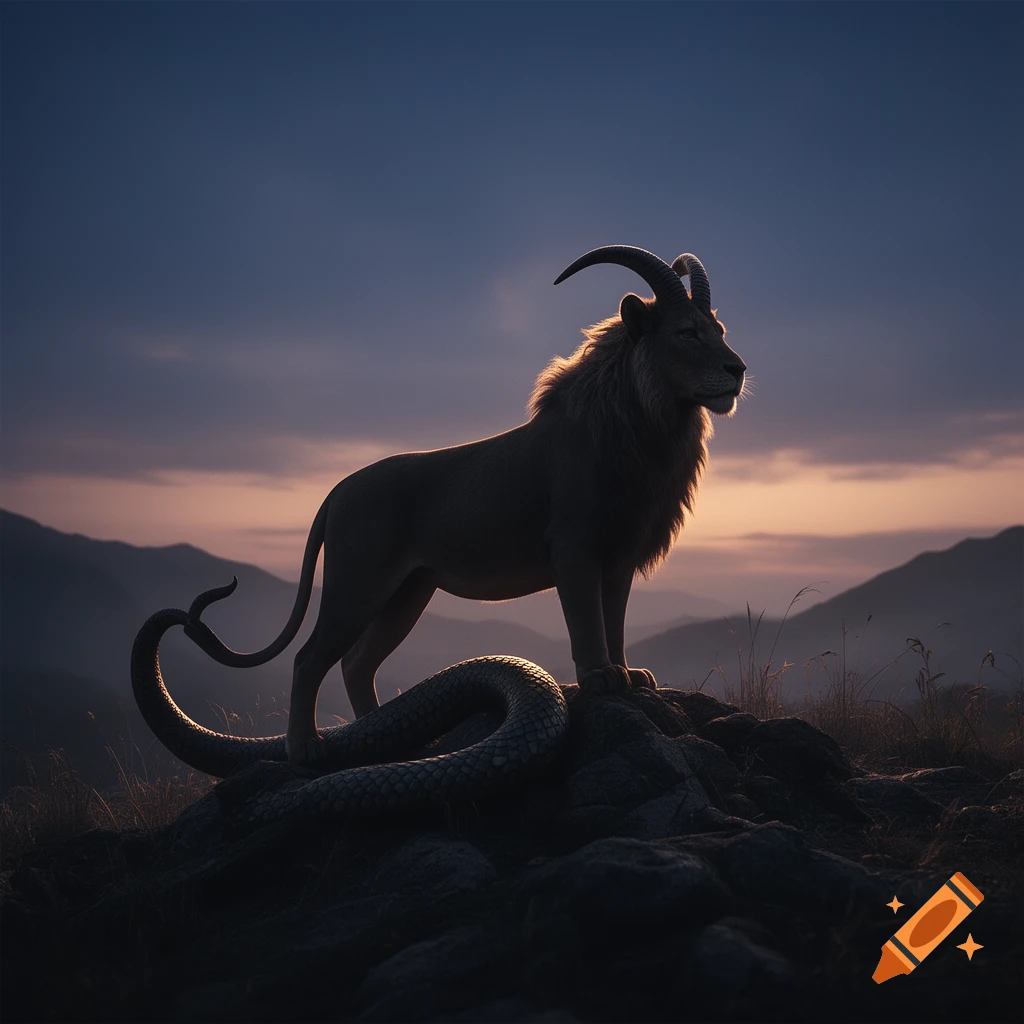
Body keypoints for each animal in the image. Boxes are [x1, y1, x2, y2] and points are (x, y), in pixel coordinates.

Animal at [182, 244, 747, 764]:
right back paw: (305, 751)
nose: (738, 369)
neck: (648, 426)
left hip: (407, 592)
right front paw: (600, 678)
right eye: (687, 333)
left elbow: (616, 616)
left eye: (719, 330)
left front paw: (629, 674)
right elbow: (587, 618)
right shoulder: (574, 547)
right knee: (309, 659)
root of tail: (337, 491)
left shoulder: (621, 554)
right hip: (358, 582)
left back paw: (385, 741)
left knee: (357, 663)